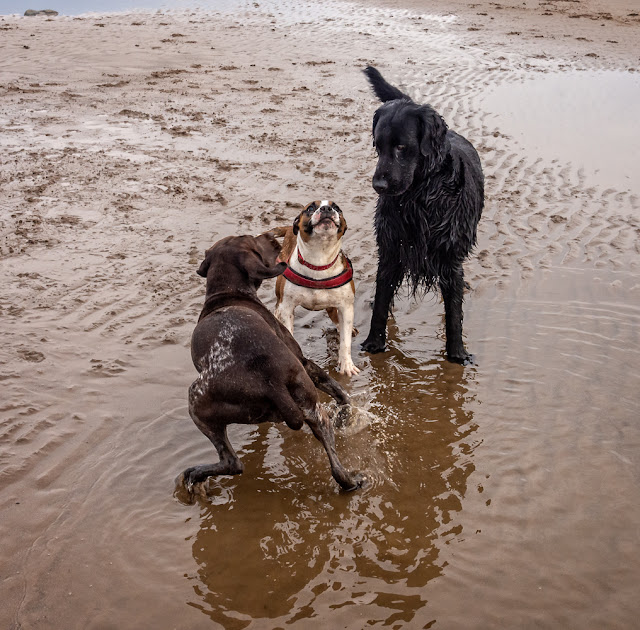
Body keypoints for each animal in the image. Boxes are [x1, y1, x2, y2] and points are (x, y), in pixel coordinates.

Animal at [178, 235, 362, 496]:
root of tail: (271, 380)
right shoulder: (304, 363)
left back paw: (195, 475)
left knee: (232, 463)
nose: (271, 238)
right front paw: (346, 411)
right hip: (312, 409)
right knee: (335, 465)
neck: (226, 293)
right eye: (251, 240)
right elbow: (338, 390)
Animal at [362, 66, 482, 366]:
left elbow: (454, 315)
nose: (379, 186)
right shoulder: (391, 249)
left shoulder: (450, 259)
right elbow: (381, 302)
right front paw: (373, 344)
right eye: (377, 146)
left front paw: (457, 355)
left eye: (402, 147)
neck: (419, 198)